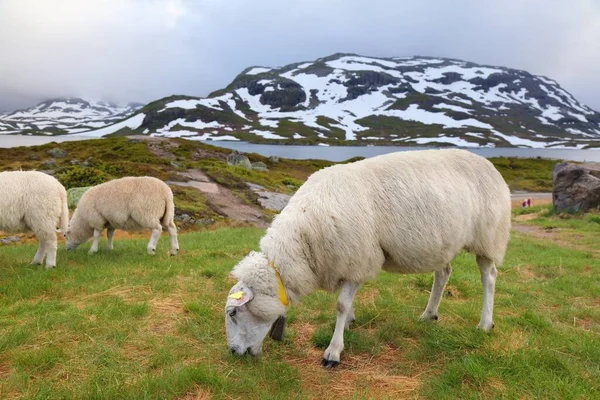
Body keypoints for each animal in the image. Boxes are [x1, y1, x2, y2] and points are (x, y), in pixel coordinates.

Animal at [225, 148, 510, 368]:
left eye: (233, 313)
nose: (233, 353)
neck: (303, 245)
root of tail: (489, 164)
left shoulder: (357, 258)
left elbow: (341, 305)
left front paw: (333, 351)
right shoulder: (349, 261)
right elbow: (347, 304)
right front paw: (348, 324)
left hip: (489, 236)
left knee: (489, 277)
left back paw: (485, 323)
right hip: (443, 242)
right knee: (443, 273)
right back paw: (429, 314)